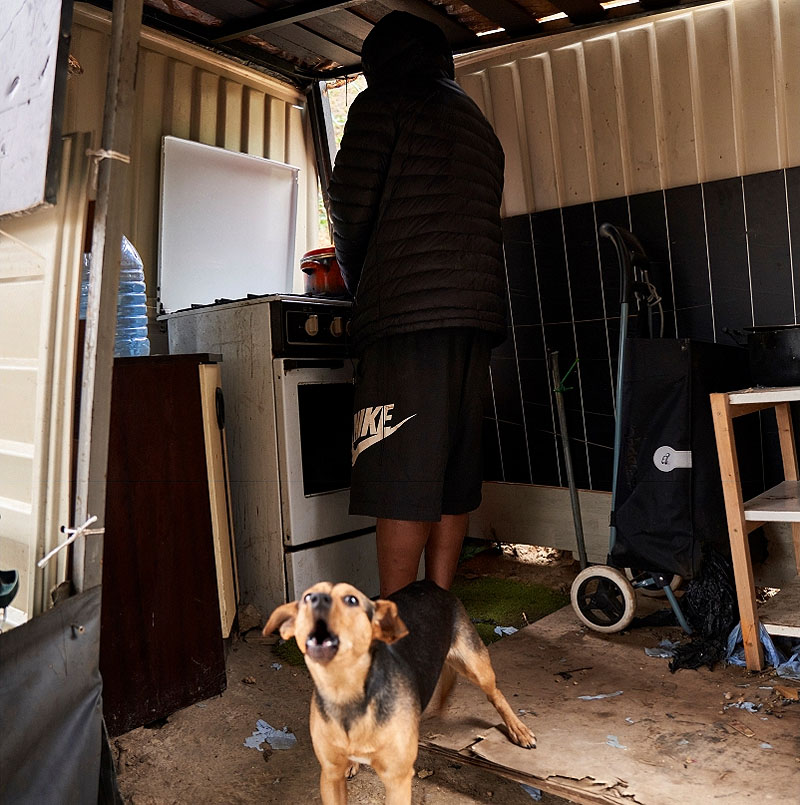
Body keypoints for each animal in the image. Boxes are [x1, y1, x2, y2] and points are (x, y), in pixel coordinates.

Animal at [263, 579, 535, 804]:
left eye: (351, 600)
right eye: (307, 597)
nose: (317, 600)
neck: (347, 699)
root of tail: (430, 584)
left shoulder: (397, 780)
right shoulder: (330, 777)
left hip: (475, 664)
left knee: (495, 693)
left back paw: (518, 730)